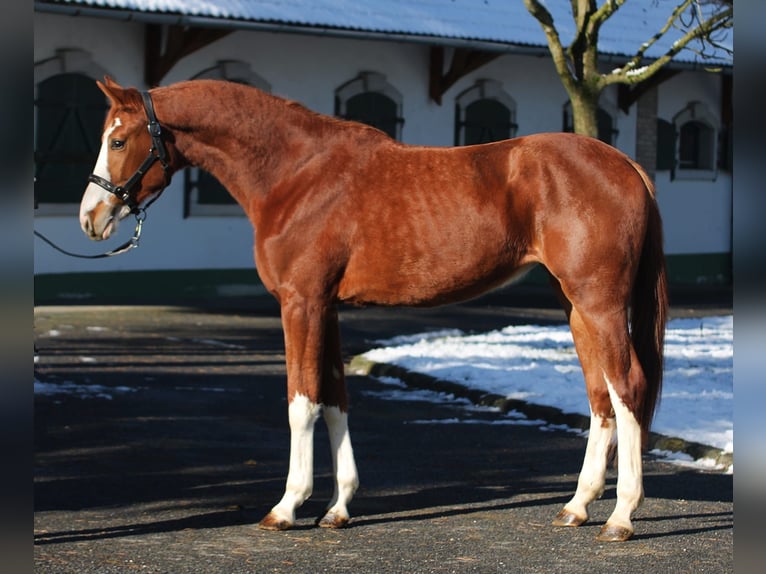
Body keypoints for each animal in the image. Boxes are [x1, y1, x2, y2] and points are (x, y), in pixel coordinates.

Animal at [79, 79, 664, 544]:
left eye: (117, 139)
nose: (91, 217)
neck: (297, 174)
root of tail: (625, 163)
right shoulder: (328, 309)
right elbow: (335, 399)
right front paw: (338, 508)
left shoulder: (301, 304)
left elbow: (301, 403)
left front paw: (286, 507)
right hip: (577, 308)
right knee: (600, 397)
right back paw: (578, 506)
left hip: (599, 303)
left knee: (628, 387)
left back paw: (622, 517)